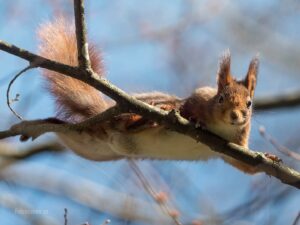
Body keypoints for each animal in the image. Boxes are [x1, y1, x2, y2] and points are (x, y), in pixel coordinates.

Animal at [38, 18, 262, 174]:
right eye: (221, 98)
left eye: (249, 104)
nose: (235, 116)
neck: (222, 126)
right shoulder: (199, 97)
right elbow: (188, 106)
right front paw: (196, 119)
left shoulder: (237, 146)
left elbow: (244, 166)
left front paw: (266, 159)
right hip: (126, 120)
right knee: (132, 124)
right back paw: (151, 118)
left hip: (93, 147)